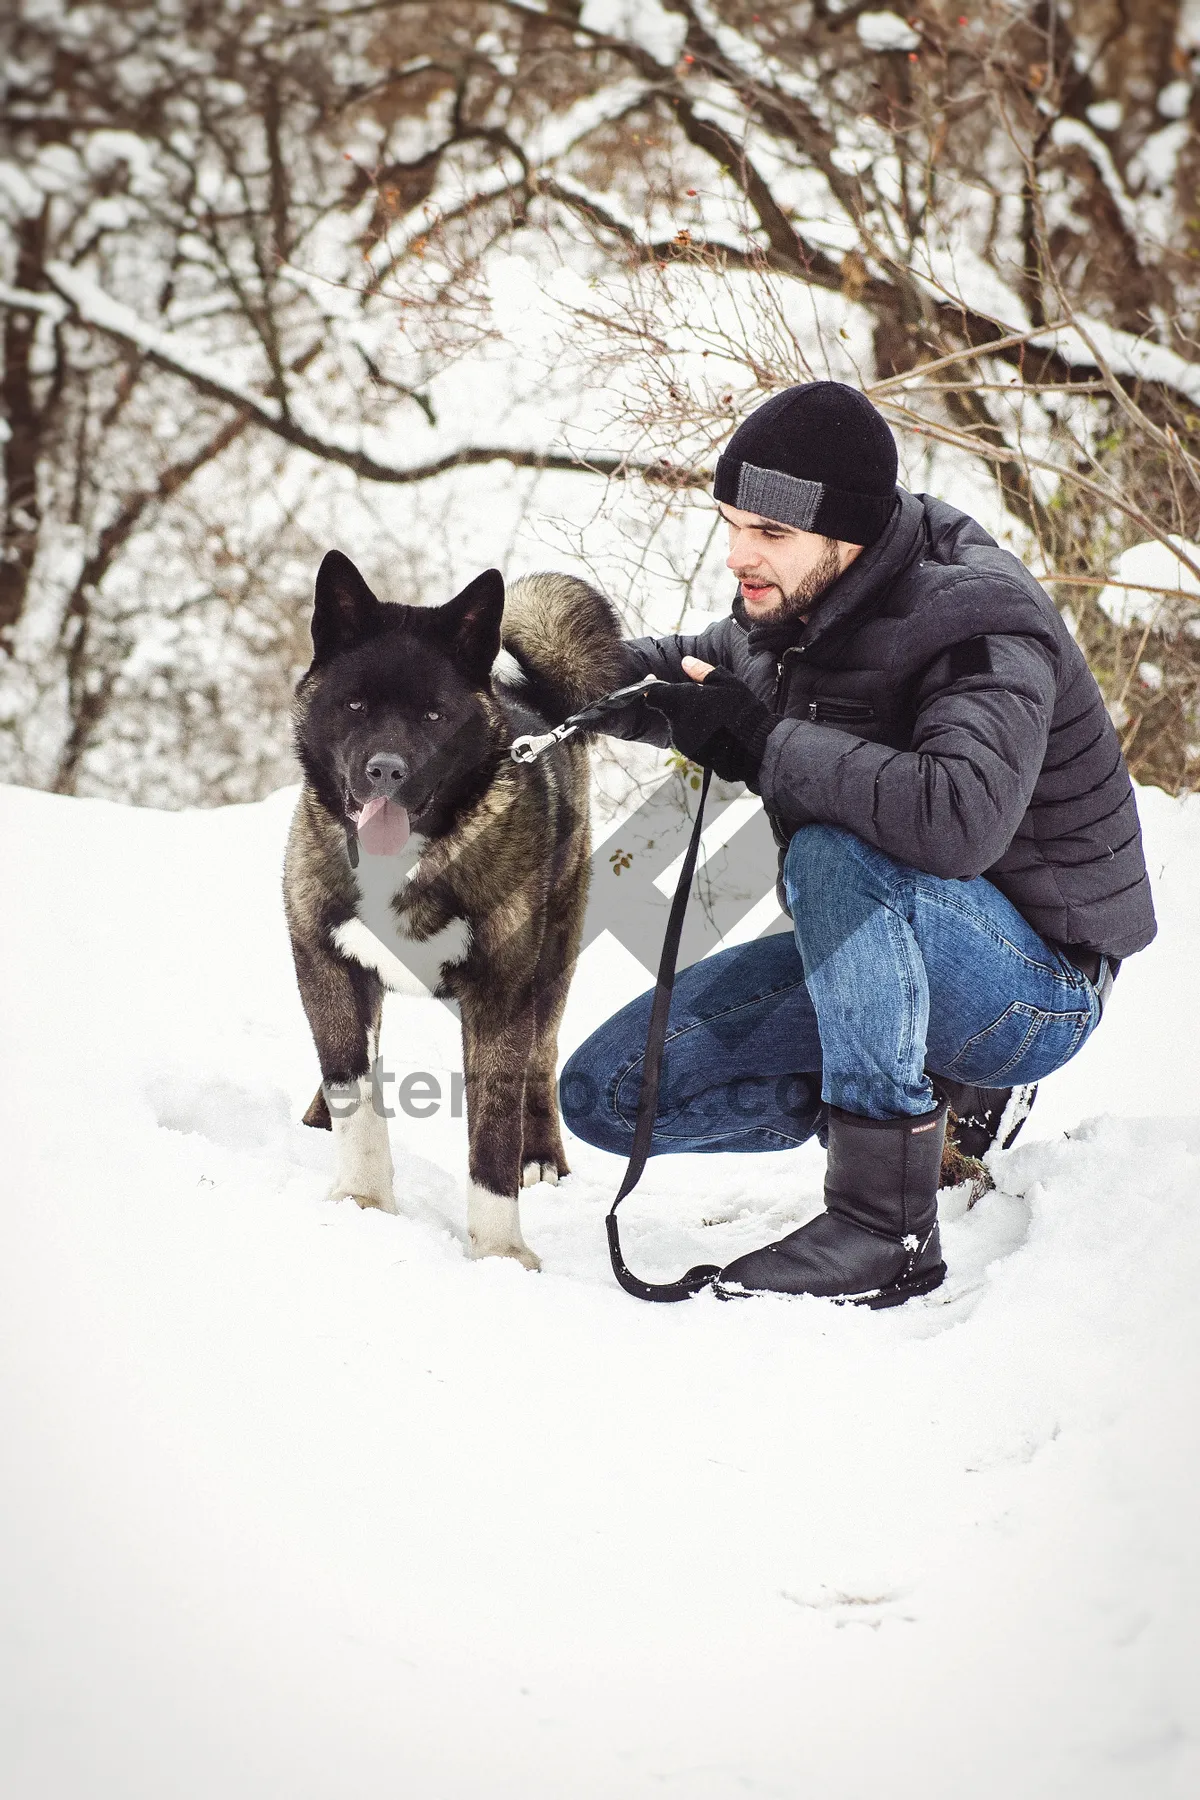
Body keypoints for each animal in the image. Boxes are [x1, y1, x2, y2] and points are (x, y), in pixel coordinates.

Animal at [284, 547, 629, 1267]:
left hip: (551, 964)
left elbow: (492, 1134)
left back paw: (542, 1157)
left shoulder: (499, 995)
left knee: (541, 1060)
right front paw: (362, 1199)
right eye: (355, 704)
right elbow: (354, 1088)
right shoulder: (326, 962)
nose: (386, 770)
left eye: (434, 716)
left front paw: (500, 1252)